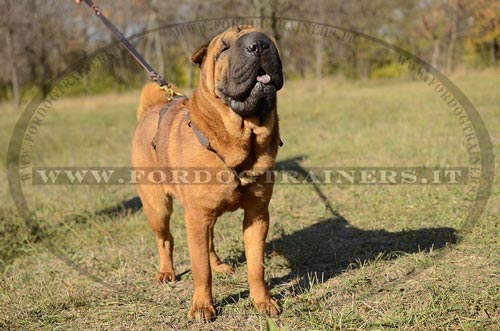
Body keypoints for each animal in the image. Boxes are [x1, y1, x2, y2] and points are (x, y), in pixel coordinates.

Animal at [131, 25, 284, 322]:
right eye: (224, 49)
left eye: (268, 40)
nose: (259, 44)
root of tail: (148, 111)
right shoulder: (196, 215)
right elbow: (200, 269)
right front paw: (203, 307)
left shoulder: (257, 214)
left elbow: (256, 265)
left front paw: (263, 302)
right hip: (158, 207)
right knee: (165, 239)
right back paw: (166, 272)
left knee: (209, 243)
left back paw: (221, 265)